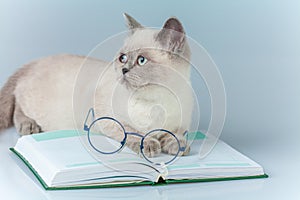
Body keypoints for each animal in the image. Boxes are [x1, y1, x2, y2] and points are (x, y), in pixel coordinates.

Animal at [0, 13, 192, 158]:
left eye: (142, 60)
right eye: (123, 58)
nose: (123, 69)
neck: (157, 101)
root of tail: (36, 61)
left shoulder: (179, 125)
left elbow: (175, 135)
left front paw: (179, 147)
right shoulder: (107, 119)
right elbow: (132, 132)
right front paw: (150, 145)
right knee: (17, 106)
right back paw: (29, 126)